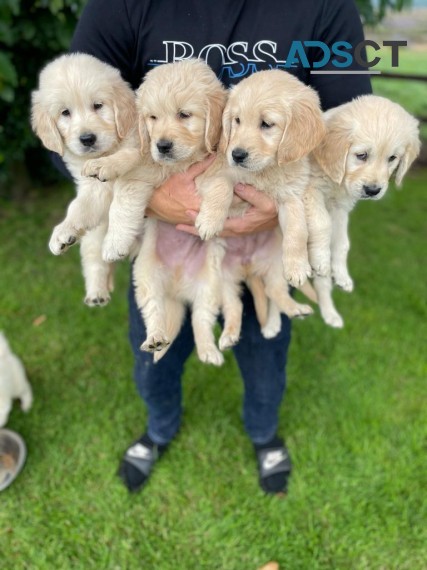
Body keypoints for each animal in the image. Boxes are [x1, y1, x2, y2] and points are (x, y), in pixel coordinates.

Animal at [194, 69, 324, 286]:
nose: (237, 155)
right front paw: (209, 221)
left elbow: (298, 229)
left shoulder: (291, 196)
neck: (266, 171)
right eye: (237, 120)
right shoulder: (208, 174)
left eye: (267, 124)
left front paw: (297, 267)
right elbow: (222, 185)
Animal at [304, 95, 422, 326]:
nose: (373, 190)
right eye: (361, 155)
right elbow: (322, 224)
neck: (336, 178)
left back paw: (330, 314)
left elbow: (342, 243)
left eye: (392, 158)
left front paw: (341, 274)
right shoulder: (308, 190)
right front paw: (322, 259)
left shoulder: (340, 208)